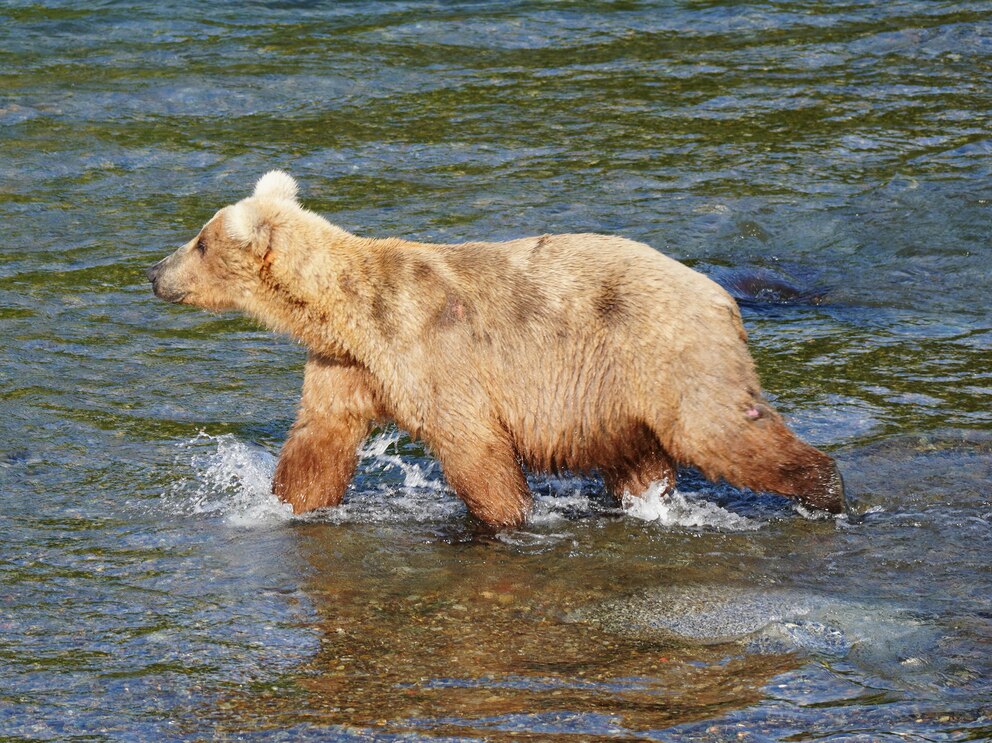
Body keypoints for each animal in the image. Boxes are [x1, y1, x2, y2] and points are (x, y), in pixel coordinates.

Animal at [147, 171, 844, 528]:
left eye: (200, 241)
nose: (154, 271)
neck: (348, 313)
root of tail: (723, 295)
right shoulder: (348, 365)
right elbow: (320, 439)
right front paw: (279, 501)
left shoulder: (430, 350)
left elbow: (472, 445)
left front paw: (508, 518)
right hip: (618, 396)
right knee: (640, 460)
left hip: (668, 354)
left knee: (721, 429)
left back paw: (826, 490)